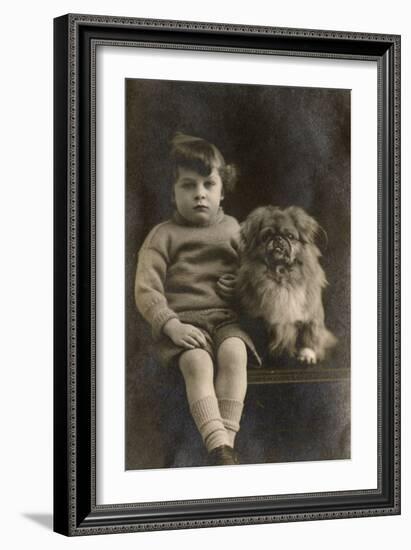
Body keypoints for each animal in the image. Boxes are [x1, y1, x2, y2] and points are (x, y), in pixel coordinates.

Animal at [238, 205, 338, 364]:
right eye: (266, 236)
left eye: (290, 236)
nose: (278, 238)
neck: (281, 273)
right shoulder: (257, 319)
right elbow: (258, 339)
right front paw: (259, 358)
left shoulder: (311, 314)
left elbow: (309, 335)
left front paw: (307, 354)